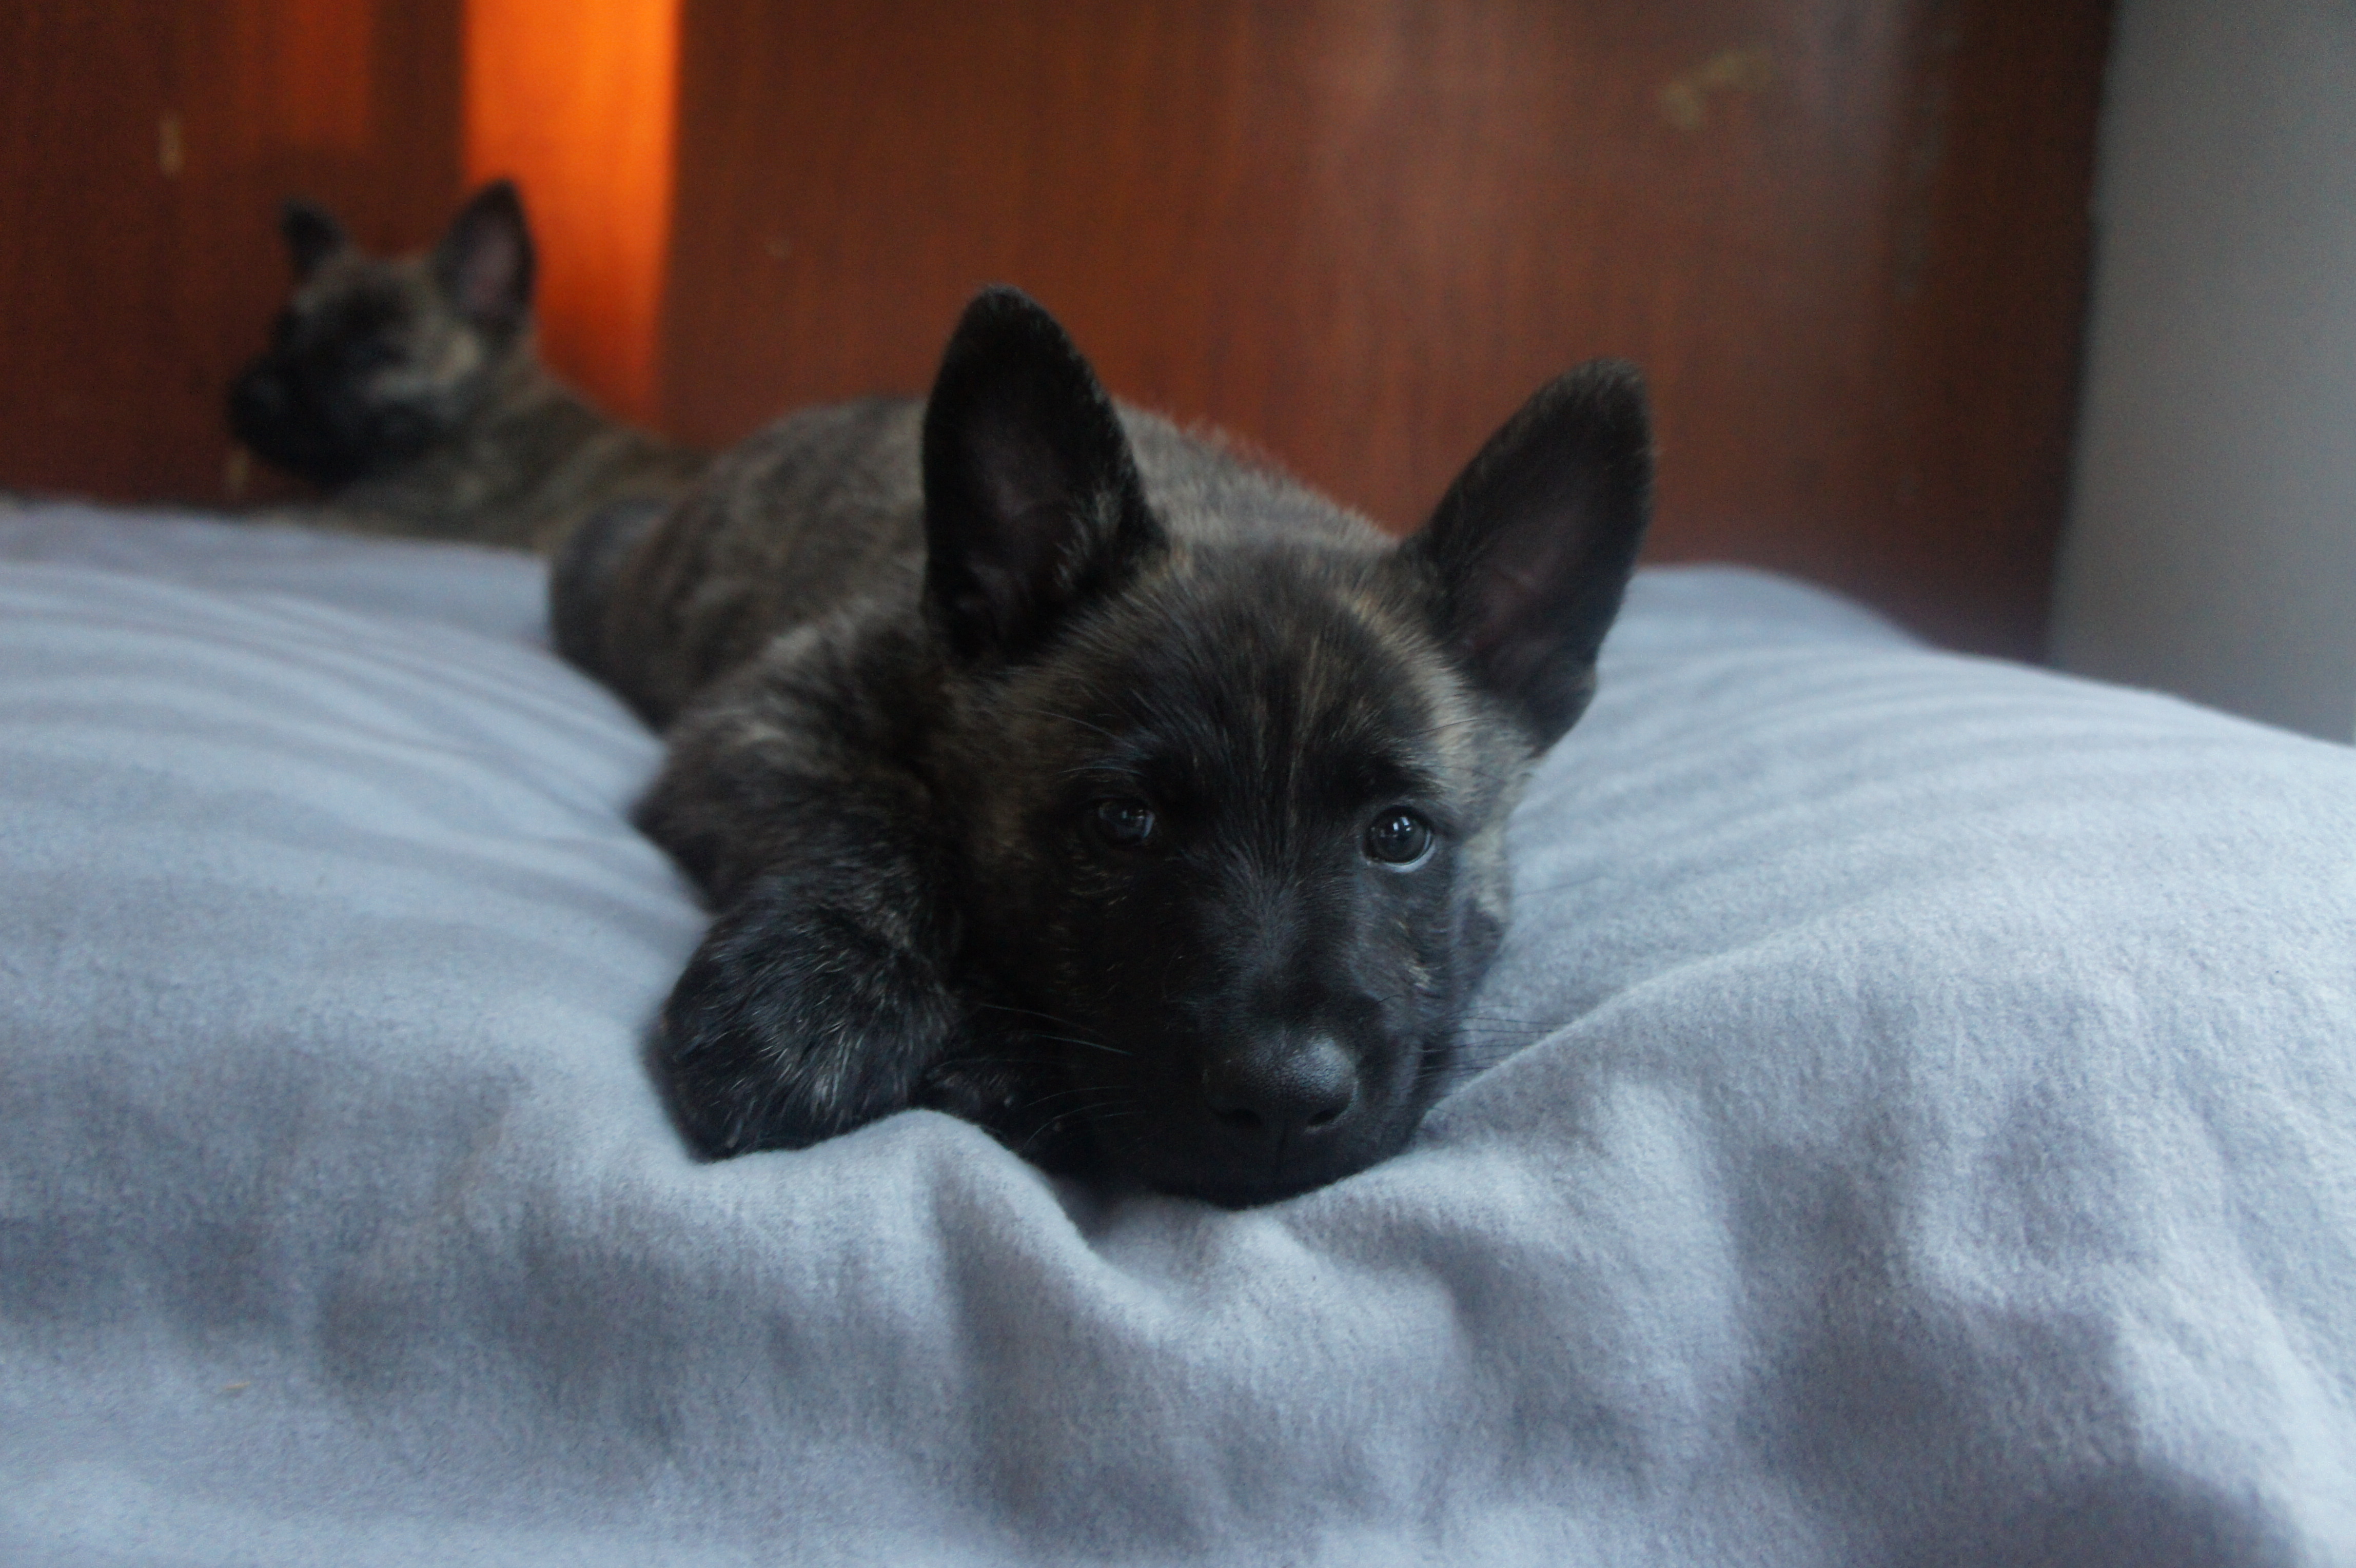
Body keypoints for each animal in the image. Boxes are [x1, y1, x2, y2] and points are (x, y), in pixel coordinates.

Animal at [229, 180, 703, 552]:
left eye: (377, 352)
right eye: (284, 330)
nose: (253, 395)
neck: (482, 412)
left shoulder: (381, 517)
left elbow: (268, 517)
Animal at [555, 289, 1651, 1206]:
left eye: (1400, 834)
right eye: (1124, 822)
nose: (1282, 1101)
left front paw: (1005, 1051)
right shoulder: (767, 713)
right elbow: (875, 817)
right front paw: (809, 1000)